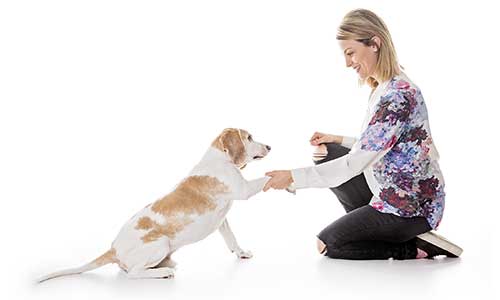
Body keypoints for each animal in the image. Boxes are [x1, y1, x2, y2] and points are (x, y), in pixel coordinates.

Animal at [38, 128, 274, 282]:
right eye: (249, 137)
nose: (270, 146)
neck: (220, 159)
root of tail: (114, 249)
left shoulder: (222, 220)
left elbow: (231, 239)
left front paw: (241, 253)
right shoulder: (244, 190)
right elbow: (265, 179)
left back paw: (167, 265)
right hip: (161, 244)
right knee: (132, 273)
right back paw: (163, 272)